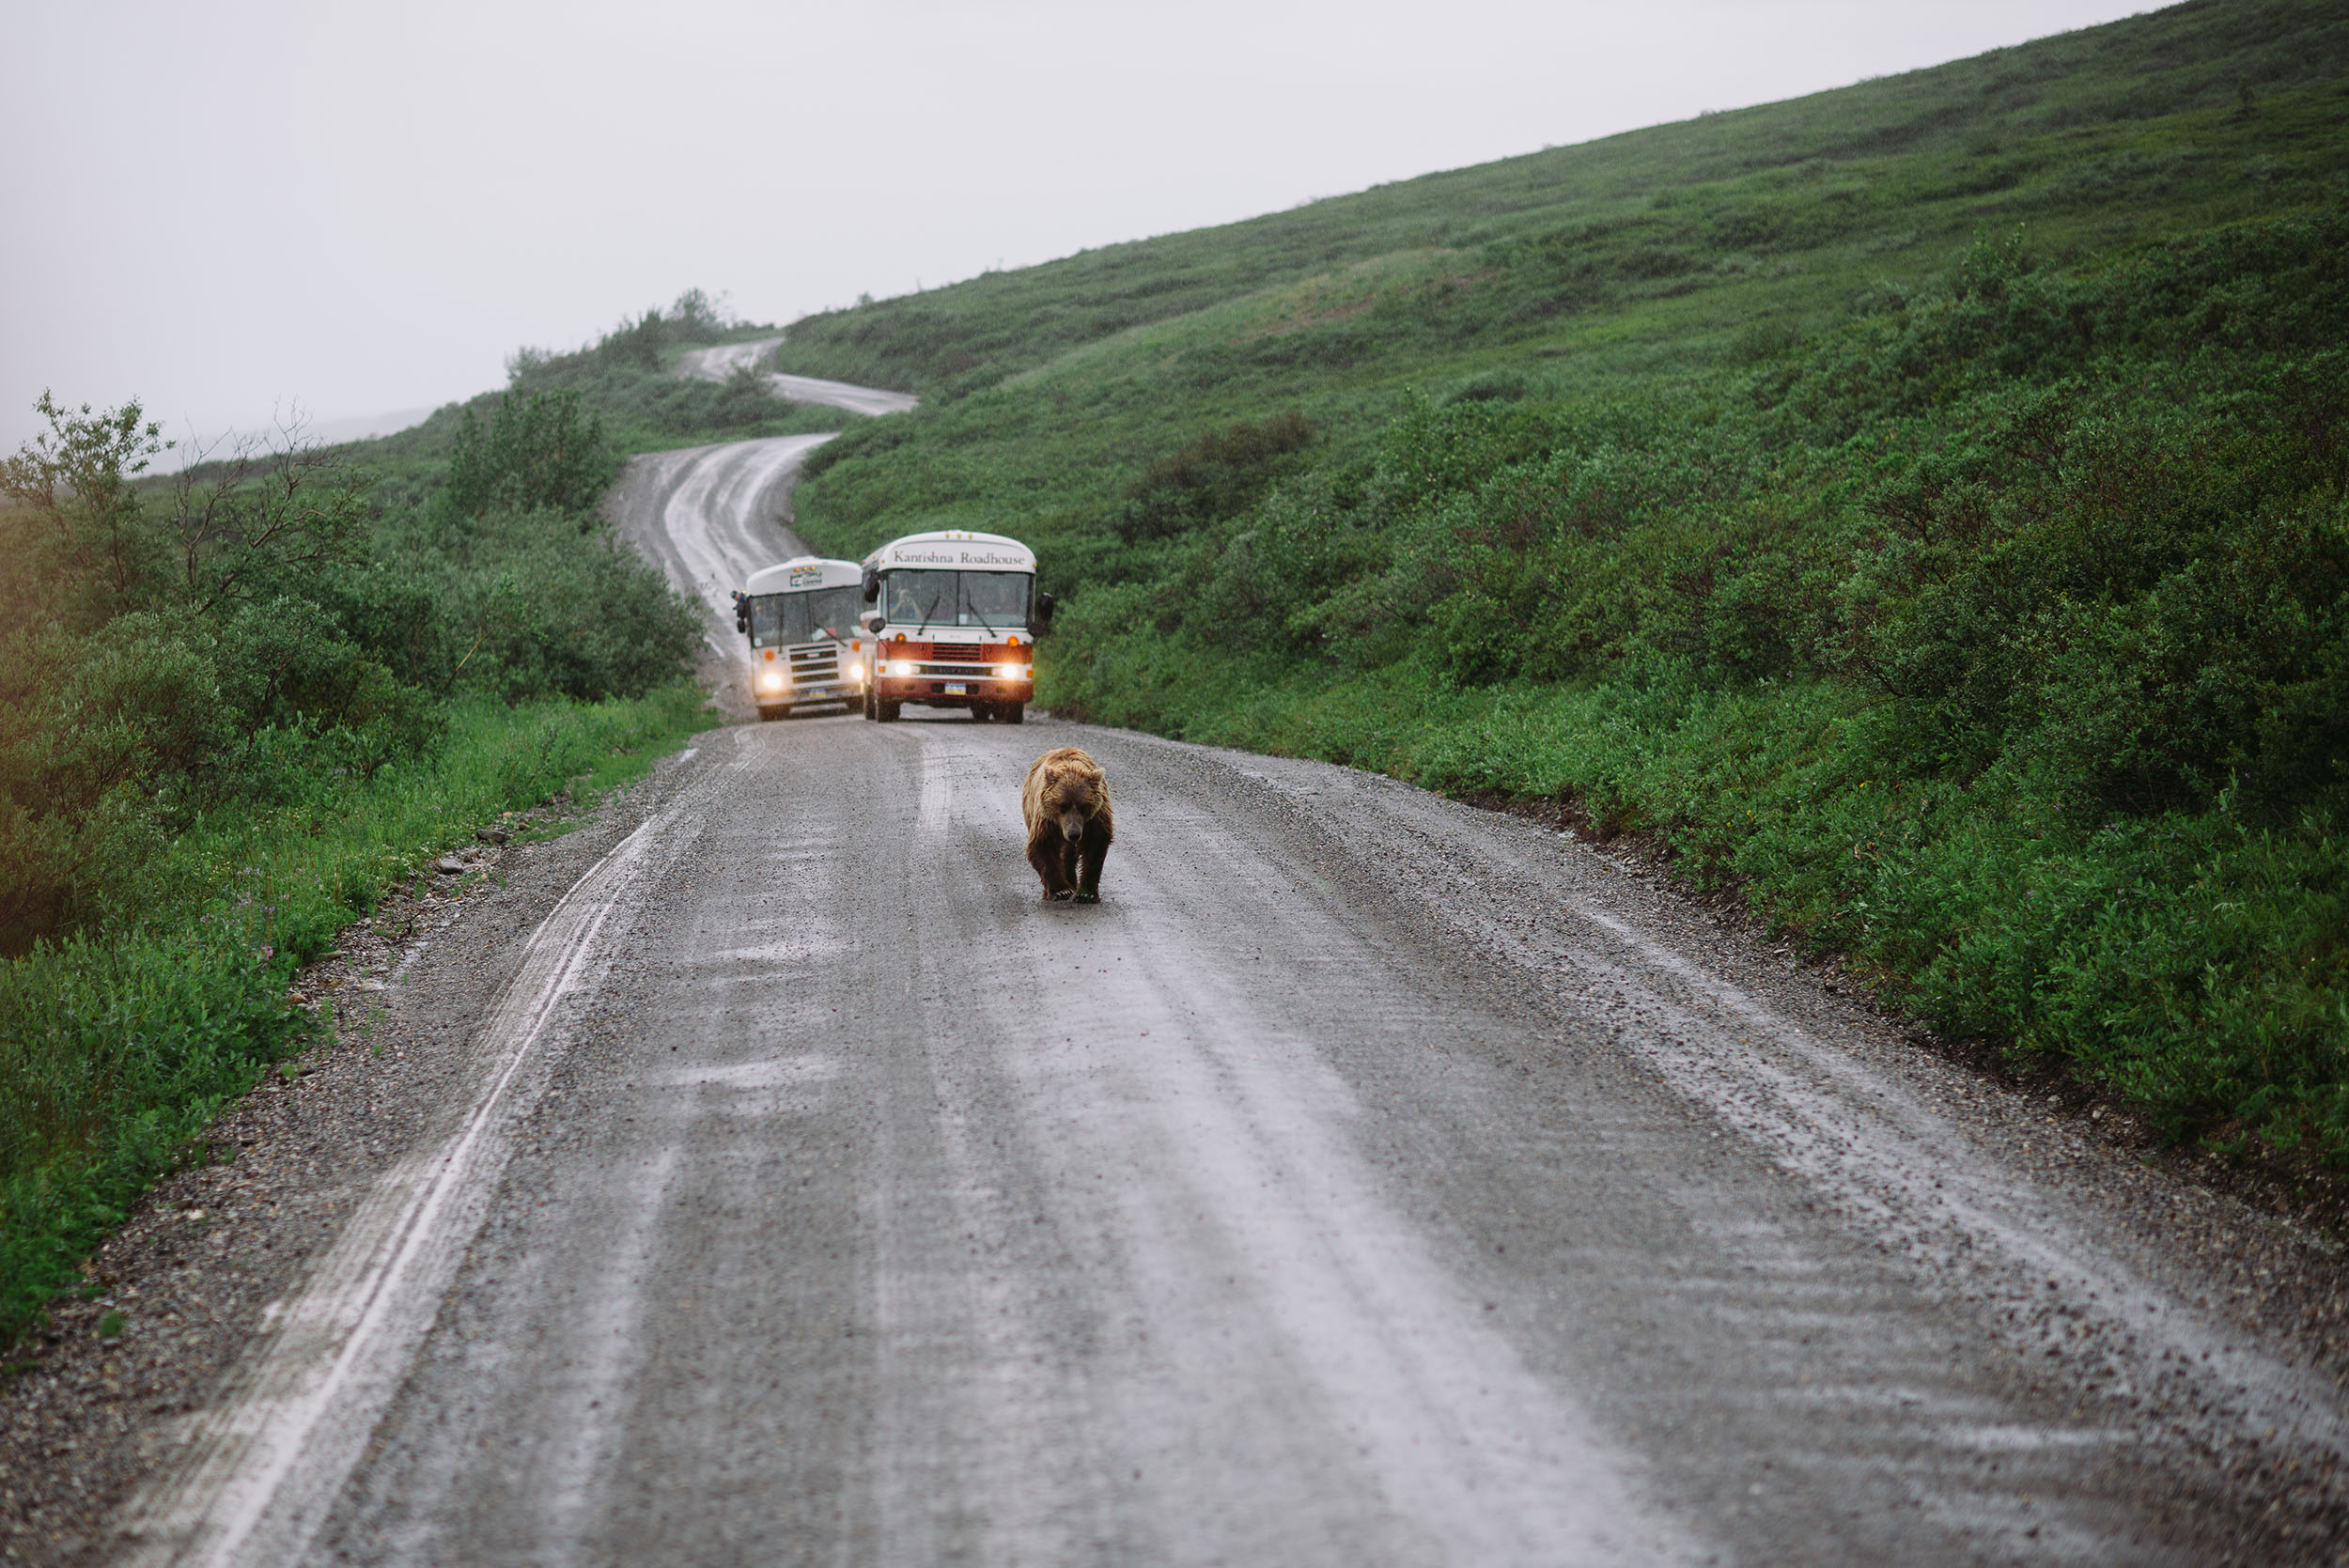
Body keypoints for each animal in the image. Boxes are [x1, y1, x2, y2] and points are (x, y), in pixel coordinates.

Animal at [1024, 751, 1113, 906]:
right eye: (1063, 806)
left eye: (1083, 807)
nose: (1074, 834)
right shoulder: (1047, 821)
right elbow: (1042, 845)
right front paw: (1061, 891)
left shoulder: (1096, 818)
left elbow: (1095, 848)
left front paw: (1086, 894)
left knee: (1068, 854)